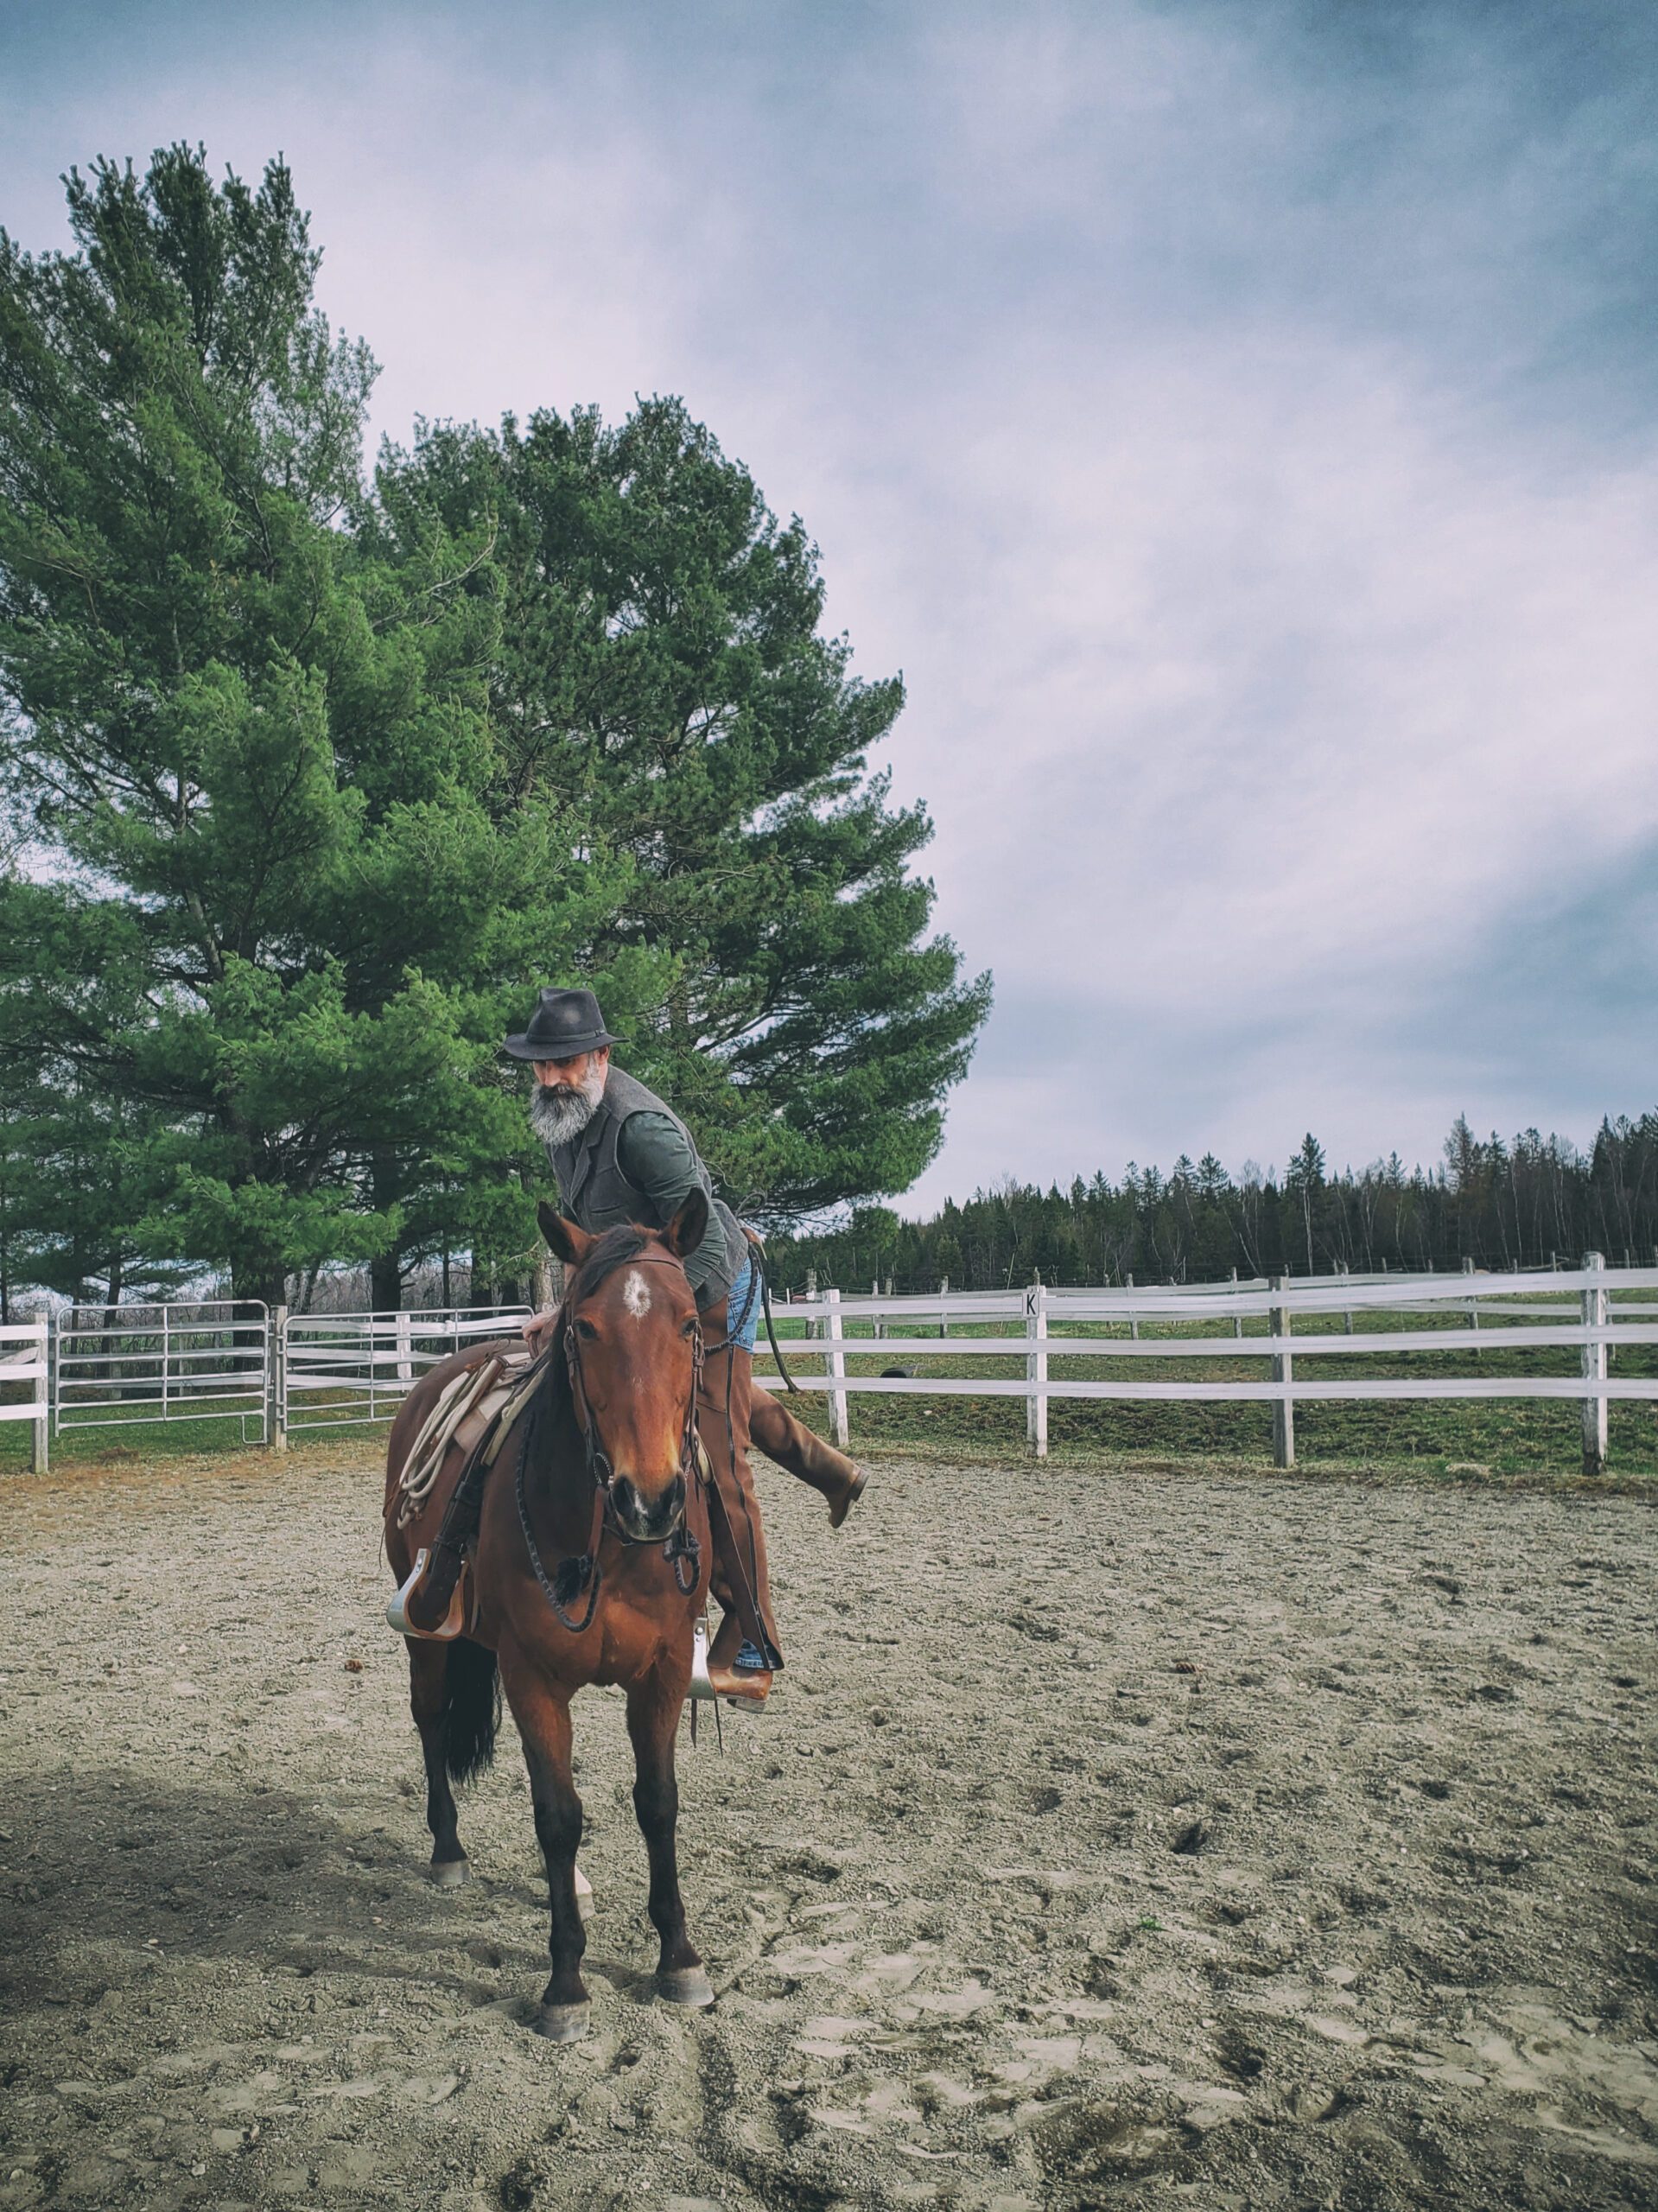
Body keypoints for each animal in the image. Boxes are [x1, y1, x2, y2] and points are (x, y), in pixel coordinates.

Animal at [389, 1194, 725, 2035]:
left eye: (688, 1323)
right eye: (585, 1328)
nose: (650, 1498)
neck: (609, 1545)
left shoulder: (662, 1673)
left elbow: (657, 1803)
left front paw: (679, 1957)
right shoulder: (532, 1676)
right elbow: (558, 1815)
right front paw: (565, 1983)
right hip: (427, 1634)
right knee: (431, 1719)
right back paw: (448, 1850)